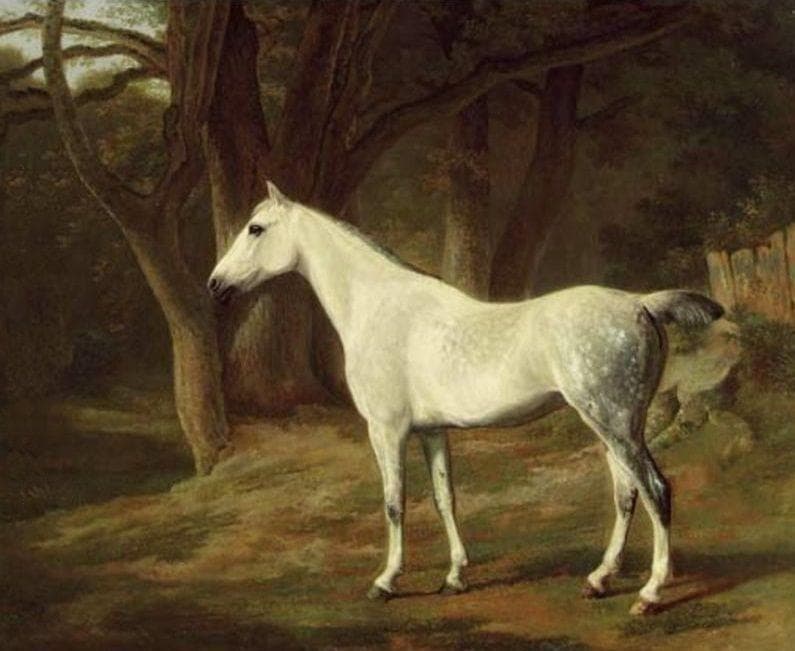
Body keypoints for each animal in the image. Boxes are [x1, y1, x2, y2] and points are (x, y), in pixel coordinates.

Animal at [208, 181, 724, 616]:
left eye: (256, 228)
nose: (215, 285)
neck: (379, 307)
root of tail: (640, 303)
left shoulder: (386, 430)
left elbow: (394, 501)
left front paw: (385, 581)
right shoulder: (432, 431)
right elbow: (444, 498)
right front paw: (455, 576)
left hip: (614, 425)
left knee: (655, 490)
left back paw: (650, 594)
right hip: (612, 425)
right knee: (626, 493)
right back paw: (598, 580)